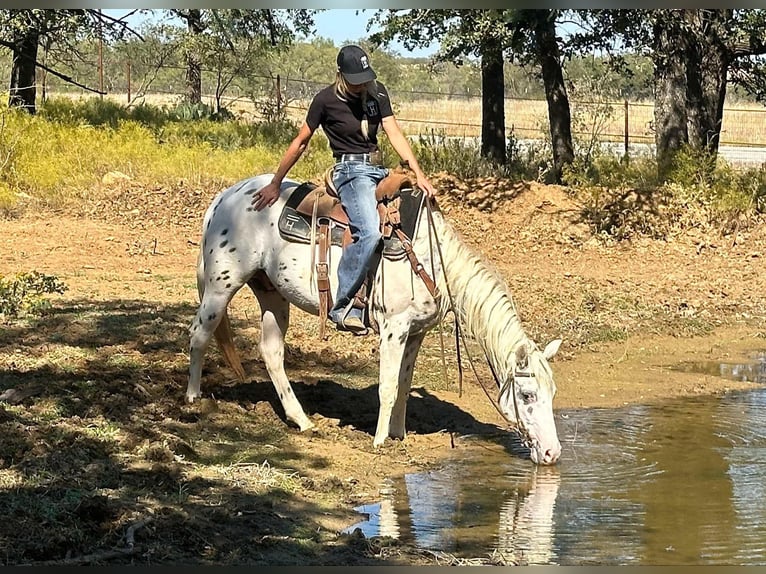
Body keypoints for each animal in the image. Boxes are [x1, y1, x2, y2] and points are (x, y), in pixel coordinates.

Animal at [186, 173, 563, 465]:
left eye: (553, 392)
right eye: (527, 395)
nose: (552, 453)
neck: (429, 259)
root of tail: (225, 197)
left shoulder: (416, 333)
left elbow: (404, 384)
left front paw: (399, 433)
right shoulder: (393, 329)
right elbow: (387, 385)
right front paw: (381, 441)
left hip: (272, 293)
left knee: (271, 352)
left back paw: (302, 420)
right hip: (222, 285)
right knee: (199, 334)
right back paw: (193, 400)